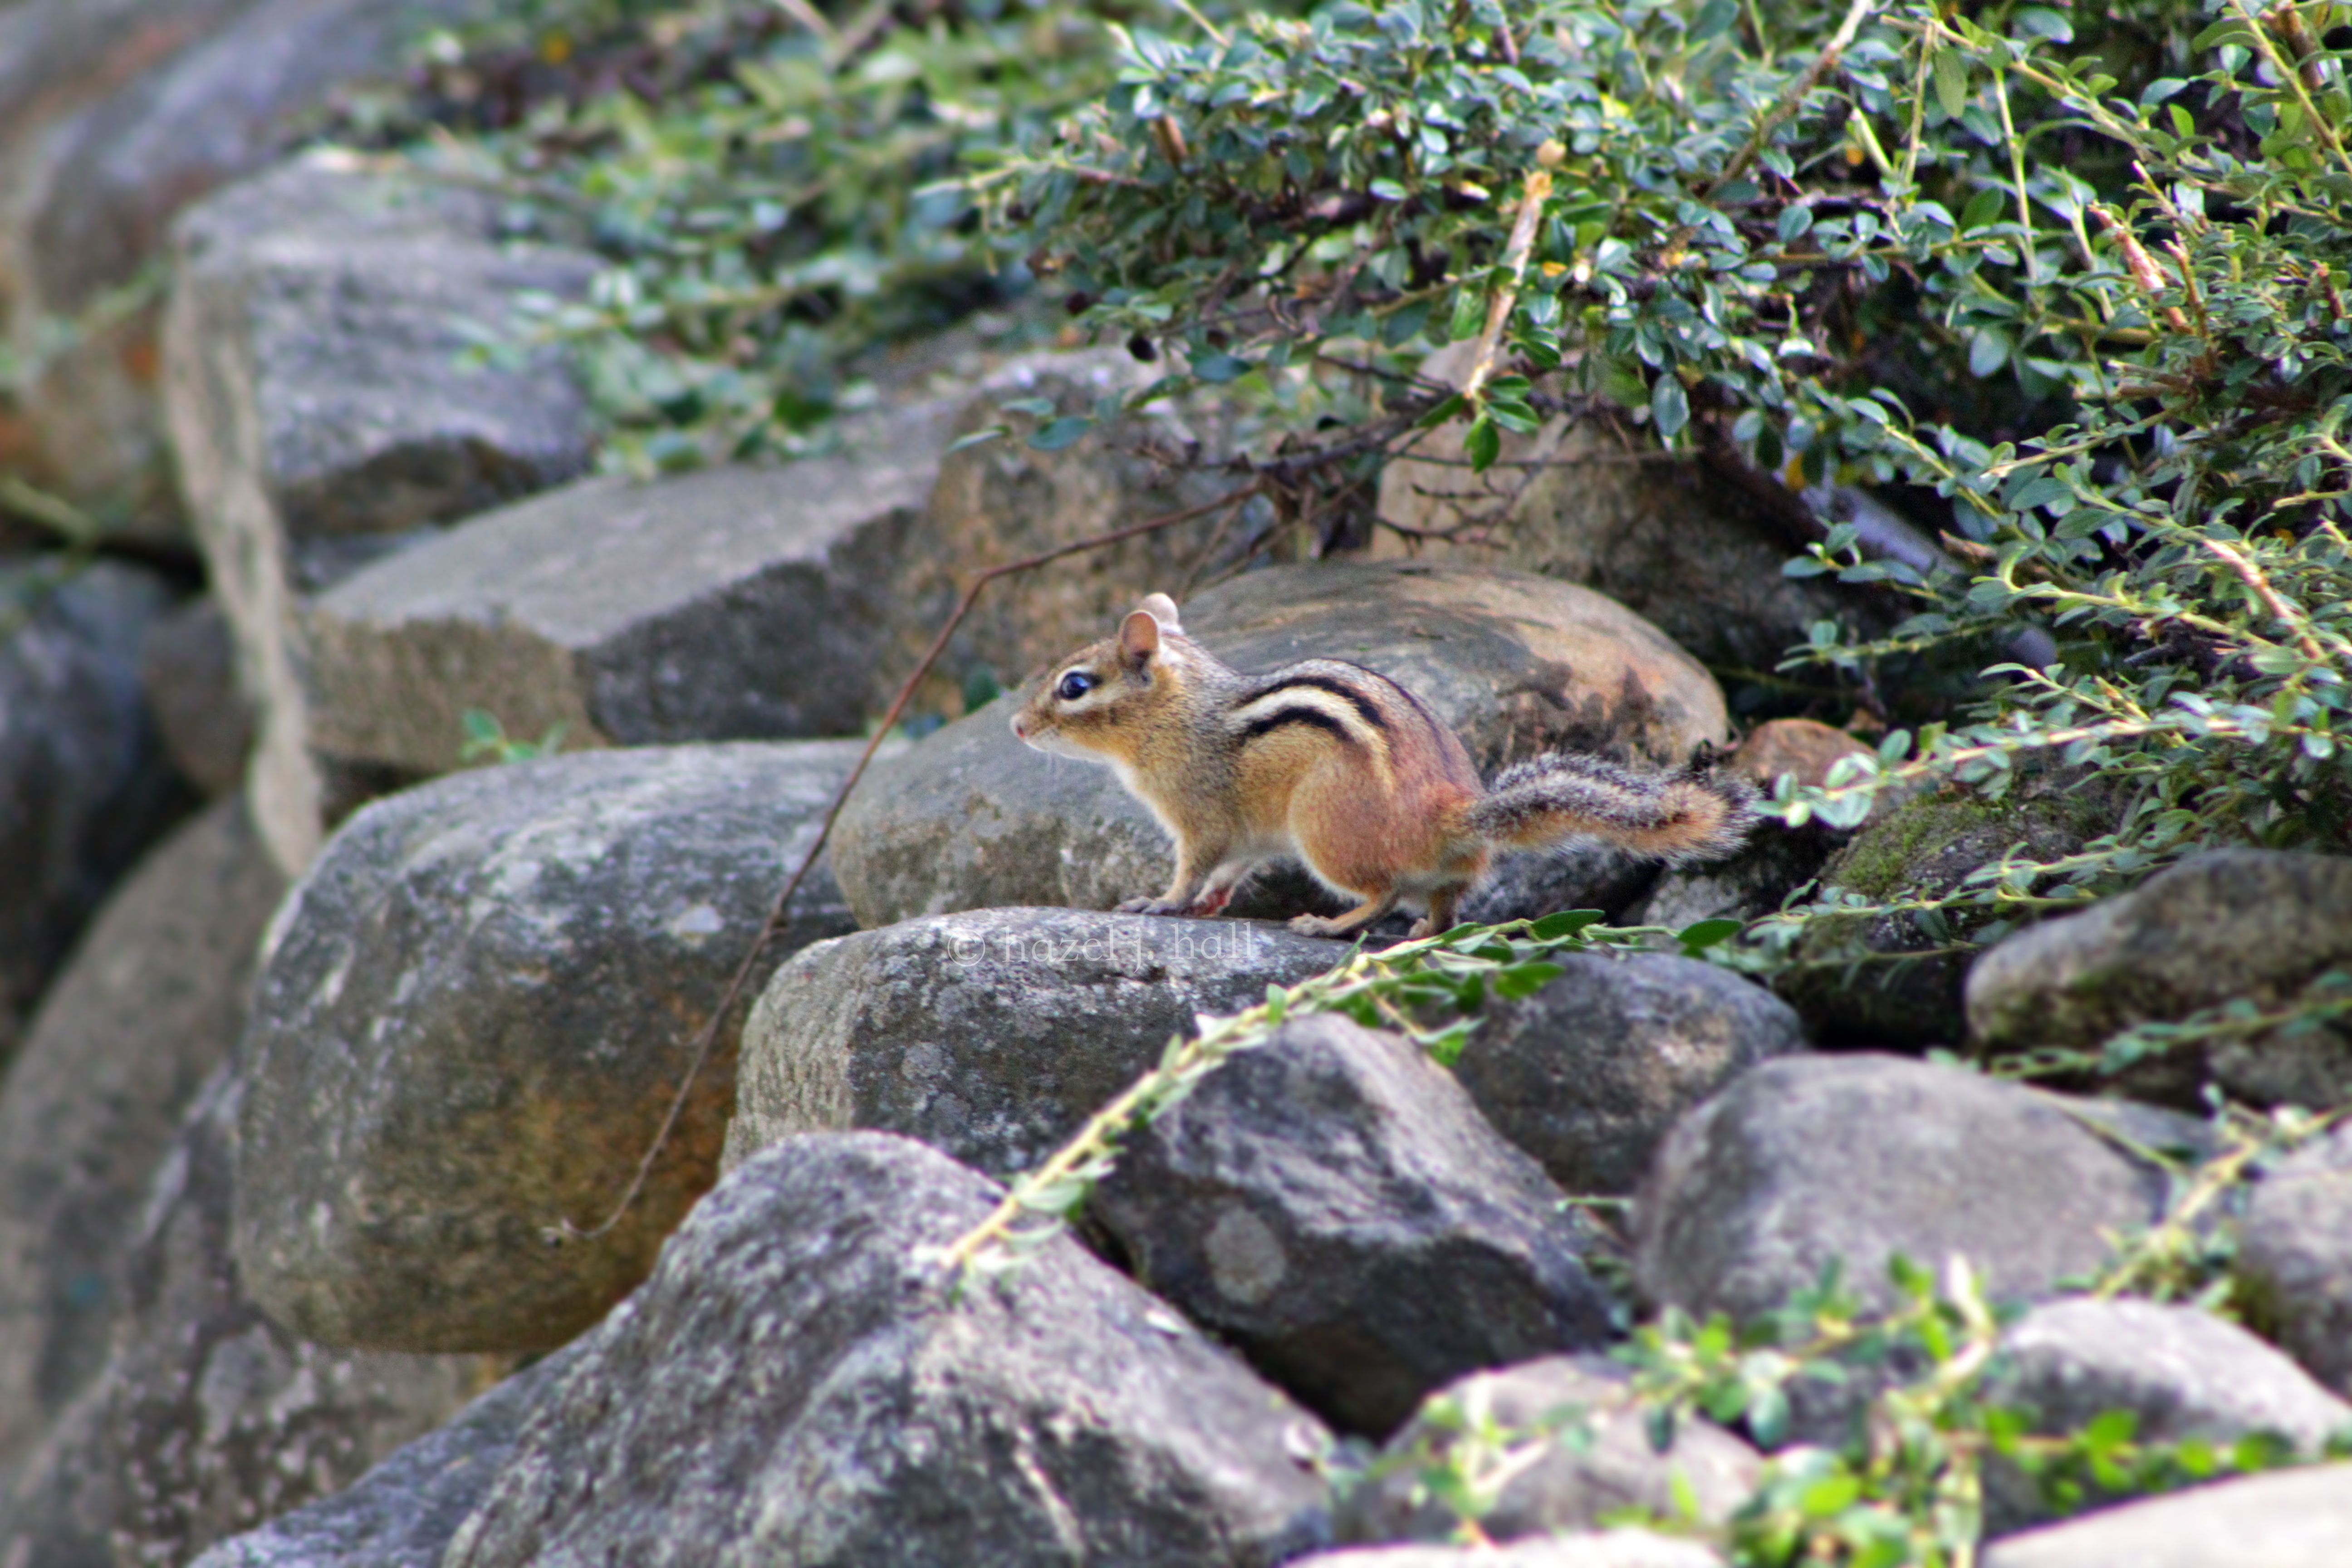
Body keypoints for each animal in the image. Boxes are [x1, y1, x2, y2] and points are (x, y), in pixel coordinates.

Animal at [1011, 592, 1760, 940]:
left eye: (1073, 687)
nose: (1017, 727)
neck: (1182, 712)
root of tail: (1453, 816)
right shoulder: (1246, 836)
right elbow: (1229, 873)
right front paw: (1209, 906)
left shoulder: (1199, 816)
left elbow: (1196, 868)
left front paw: (1161, 903)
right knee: (1444, 902)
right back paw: (1424, 932)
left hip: (1323, 832)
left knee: (1383, 893)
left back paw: (1328, 924)